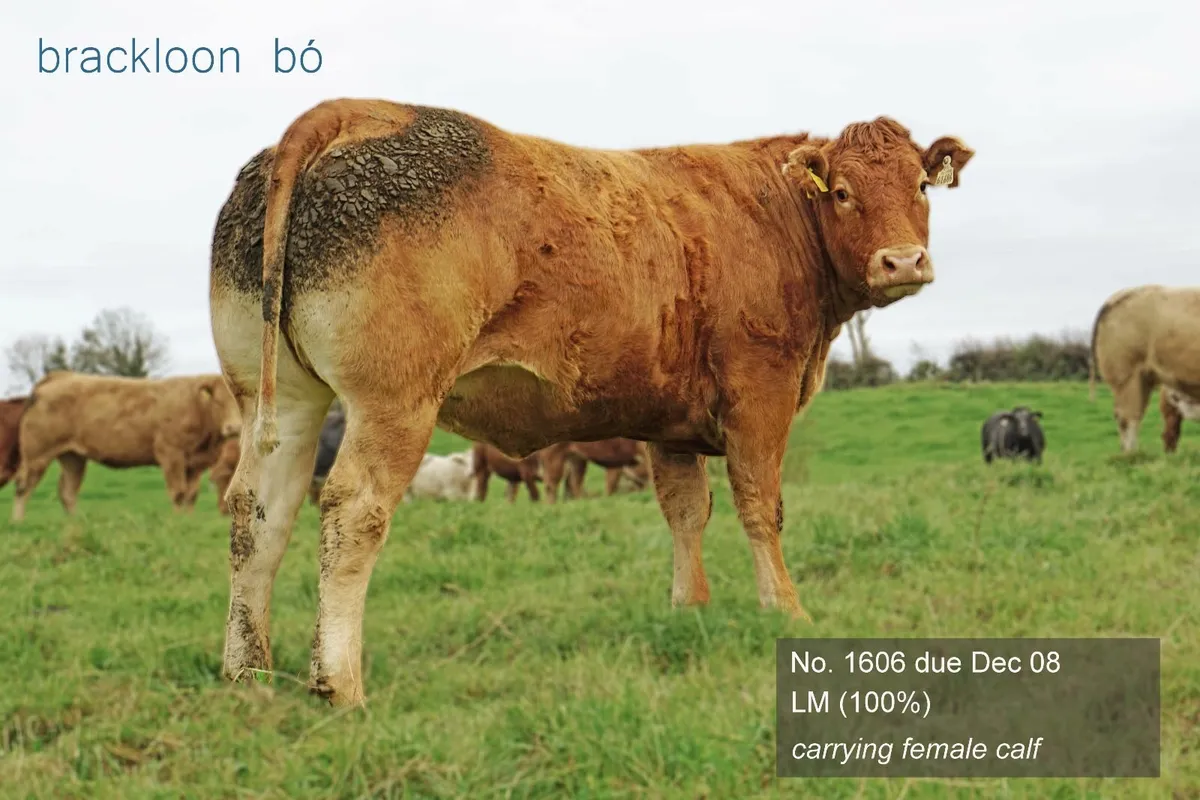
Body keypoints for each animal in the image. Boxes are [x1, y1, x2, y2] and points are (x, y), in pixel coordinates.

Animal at [9, 371, 241, 521]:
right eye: (219, 401)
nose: (234, 427)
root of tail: (61, 376)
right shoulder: (171, 454)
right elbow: (178, 492)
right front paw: (177, 521)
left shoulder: (194, 463)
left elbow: (191, 495)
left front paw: (189, 521)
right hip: (37, 454)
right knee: (23, 486)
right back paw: (18, 521)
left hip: (73, 457)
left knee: (67, 491)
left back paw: (76, 522)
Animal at [209, 97, 973, 706]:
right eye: (842, 191)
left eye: (920, 186)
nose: (902, 262)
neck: (778, 215)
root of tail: (349, 110)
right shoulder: (762, 392)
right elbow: (762, 507)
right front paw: (784, 611)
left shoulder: (669, 421)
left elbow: (685, 512)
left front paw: (689, 611)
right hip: (393, 402)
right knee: (353, 513)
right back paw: (339, 685)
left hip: (279, 401)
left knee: (258, 515)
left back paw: (248, 675)